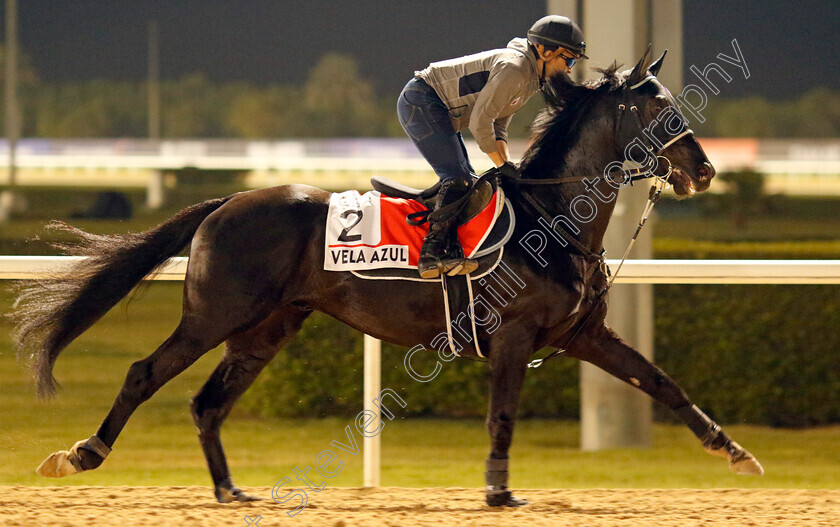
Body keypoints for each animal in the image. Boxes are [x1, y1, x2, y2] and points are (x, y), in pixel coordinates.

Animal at [11, 49, 760, 508]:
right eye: (656, 108)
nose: (703, 170)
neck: (552, 217)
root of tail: (225, 201)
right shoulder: (513, 338)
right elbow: (503, 415)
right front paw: (498, 491)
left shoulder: (584, 334)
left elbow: (664, 383)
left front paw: (735, 451)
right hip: (215, 313)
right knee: (146, 373)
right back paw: (81, 453)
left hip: (267, 327)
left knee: (207, 403)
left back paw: (230, 490)